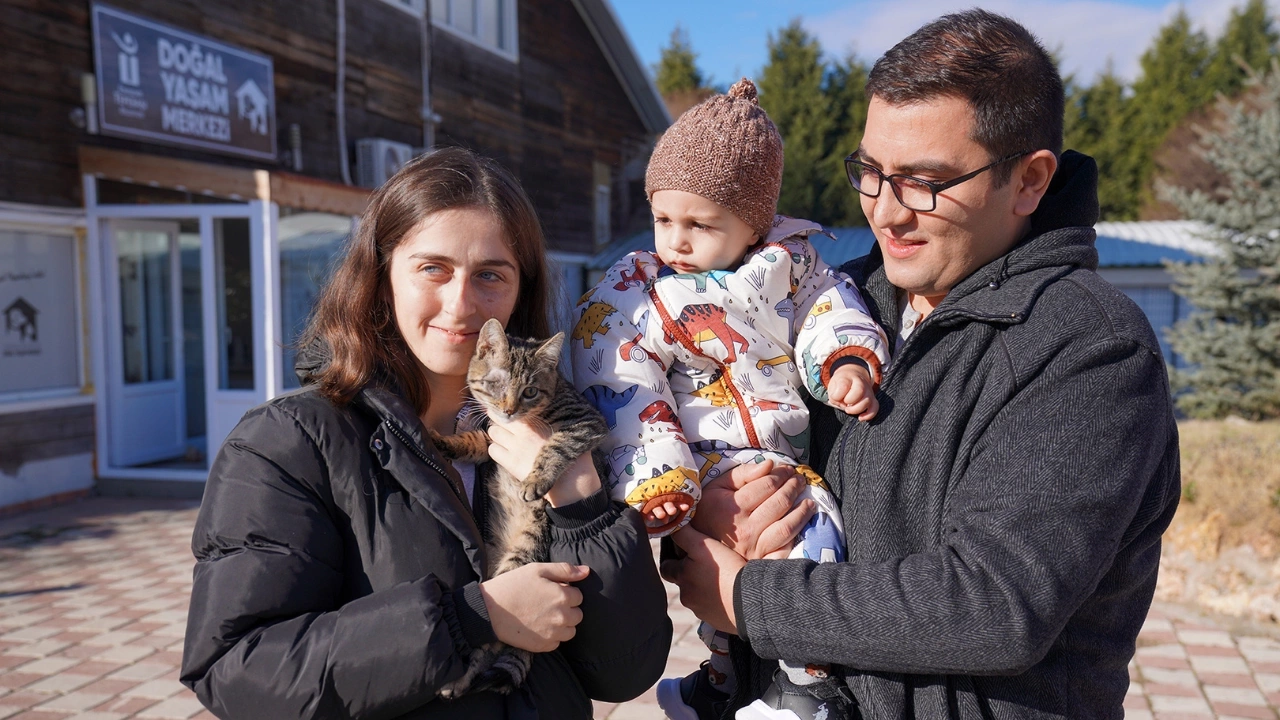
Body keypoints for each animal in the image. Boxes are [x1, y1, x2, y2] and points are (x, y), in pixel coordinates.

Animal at [430, 317, 609, 696]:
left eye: (530, 392)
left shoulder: (585, 423)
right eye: (498, 384)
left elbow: (555, 446)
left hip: (520, 562)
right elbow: (475, 440)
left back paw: (460, 678)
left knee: (493, 638)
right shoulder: (493, 435)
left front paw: (535, 480)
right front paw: (447, 442)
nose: (509, 410)